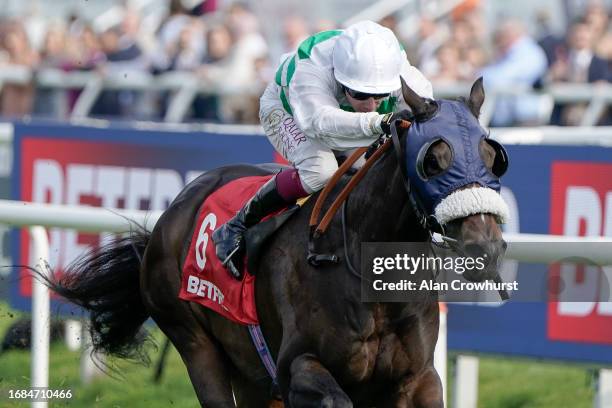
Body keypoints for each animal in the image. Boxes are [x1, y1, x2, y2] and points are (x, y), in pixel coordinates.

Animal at [44, 78, 506, 406]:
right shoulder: (296, 367)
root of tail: (173, 211)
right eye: (433, 159)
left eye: (493, 156)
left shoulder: (418, 378)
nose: (485, 245)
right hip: (195, 343)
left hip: (249, 374)